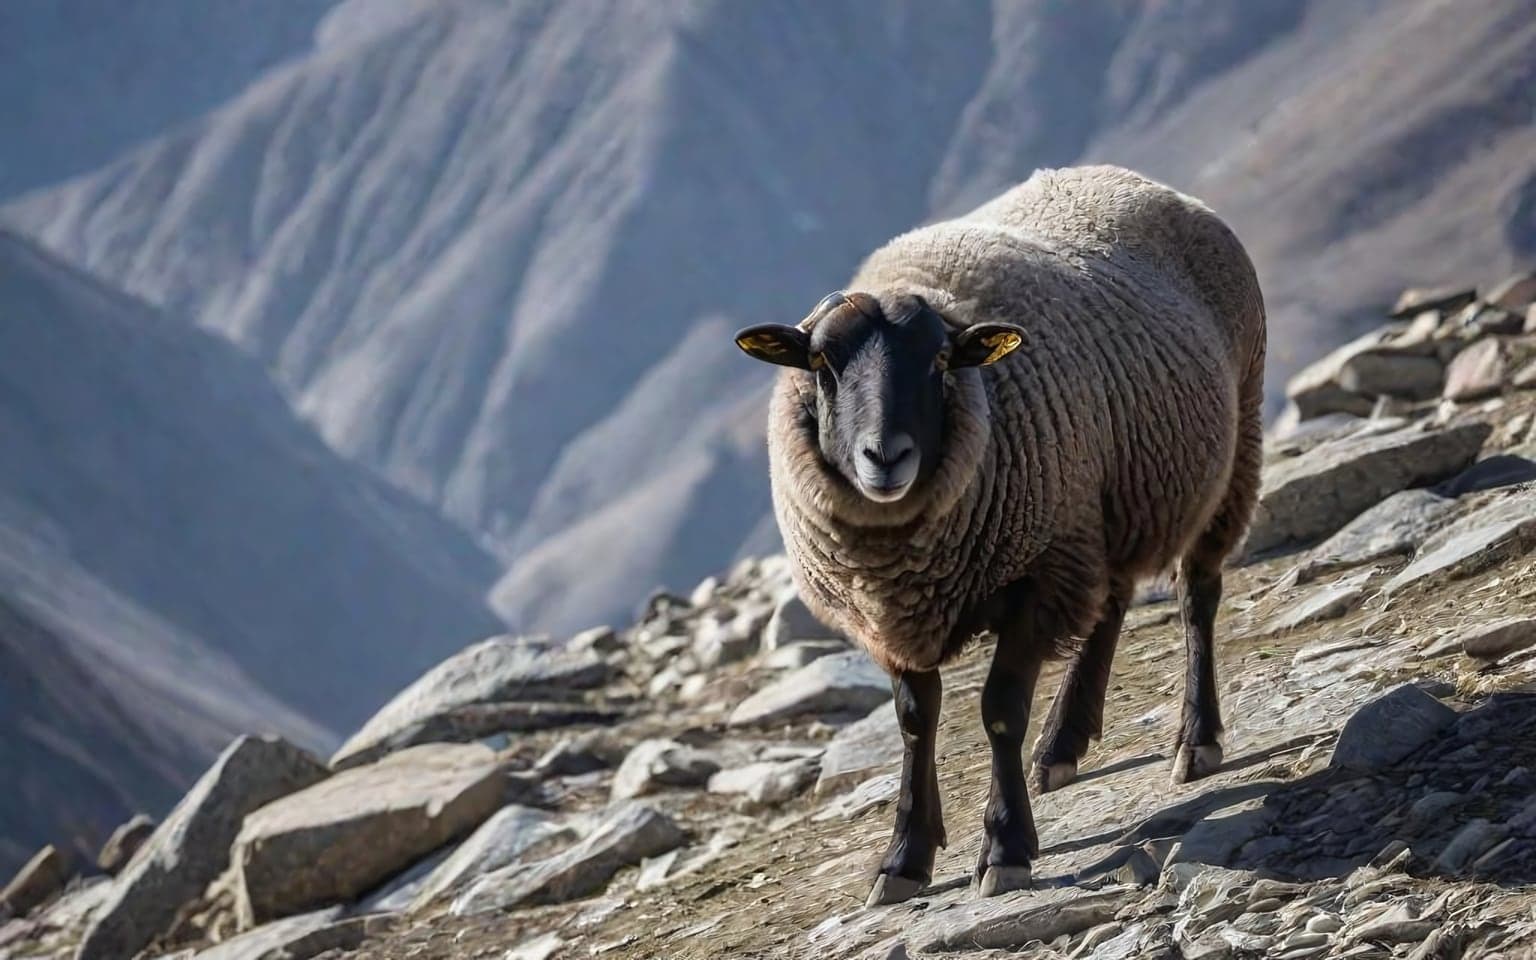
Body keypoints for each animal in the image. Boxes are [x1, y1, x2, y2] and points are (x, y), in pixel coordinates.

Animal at [733, 165, 1266, 906]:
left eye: (940, 361)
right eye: (821, 364)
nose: (885, 457)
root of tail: (1143, 181)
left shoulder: (1036, 575)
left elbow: (1000, 712)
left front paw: (1006, 848)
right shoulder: (888, 614)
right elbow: (915, 721)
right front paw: (904, 858)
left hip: (1232, 443)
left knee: (1197, 598)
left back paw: (1196, 739)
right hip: (1096, 505)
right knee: (1110, 604)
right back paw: (1062, 746)